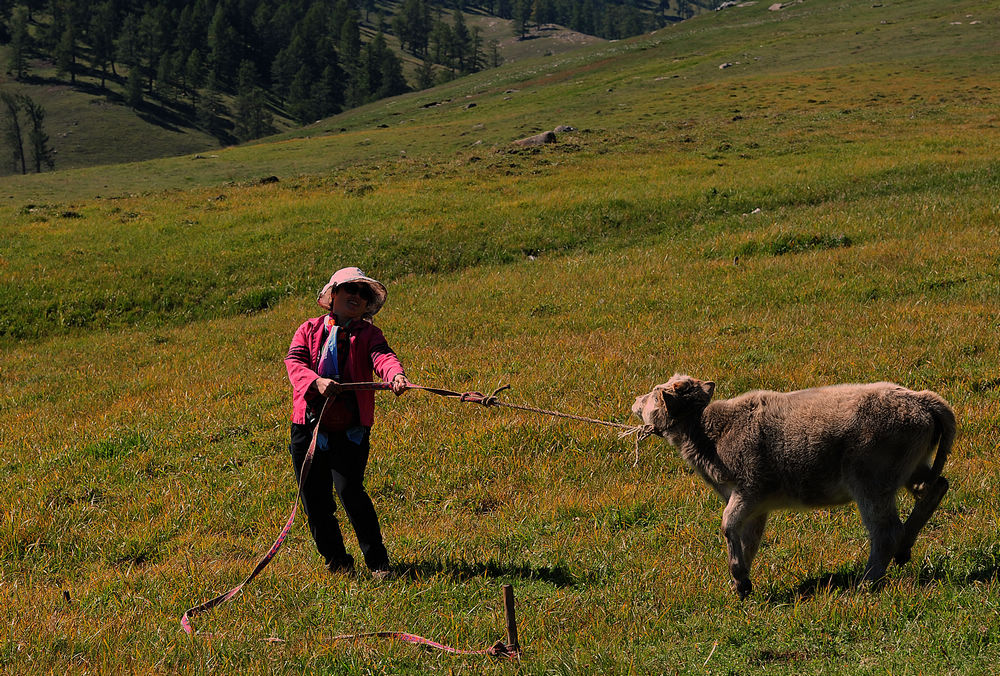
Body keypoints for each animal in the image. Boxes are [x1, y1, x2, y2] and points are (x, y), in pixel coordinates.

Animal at [632, 374, 952, 596]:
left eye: (654, 395)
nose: (635, 400)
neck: (712, 432)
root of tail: (921, 399)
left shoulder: (748, 491)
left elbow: (727, 524)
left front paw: (739, 578)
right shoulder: (756, 507)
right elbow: (748, 539)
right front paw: (741, 582)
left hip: (872, 484)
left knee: (885, 531)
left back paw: (867, 581)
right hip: (911, 471)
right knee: (935, 489)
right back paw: (904, 548)